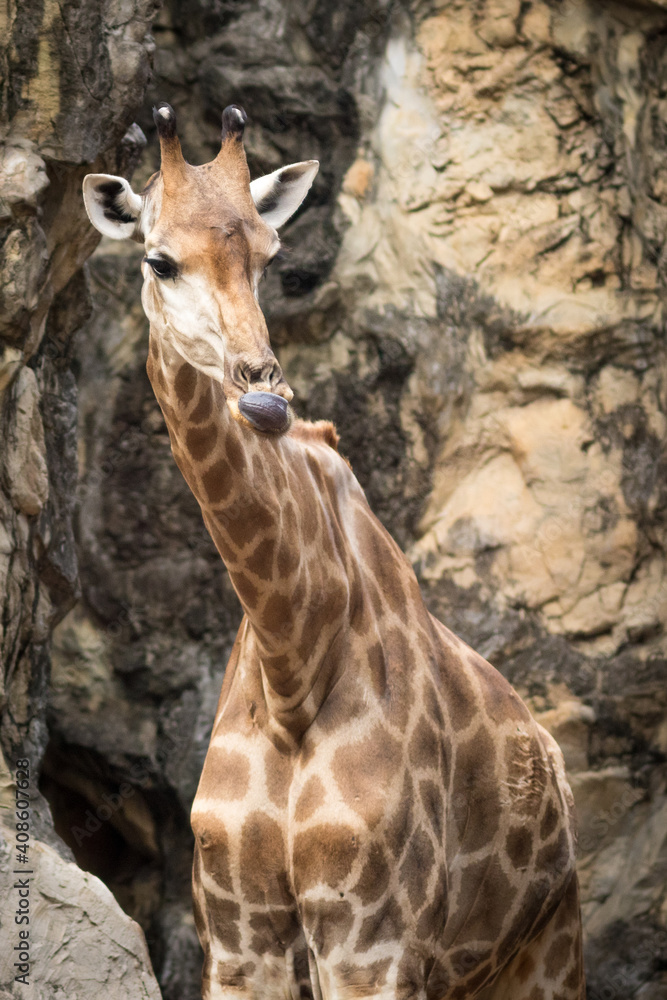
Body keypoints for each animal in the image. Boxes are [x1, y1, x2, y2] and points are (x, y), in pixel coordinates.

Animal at [83, 103, 586, 1000]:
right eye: (158, 258)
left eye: (268, 254)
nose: (261, 389)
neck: (292, 660)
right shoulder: (240, 940)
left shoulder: (371, 940)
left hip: (546, 954)